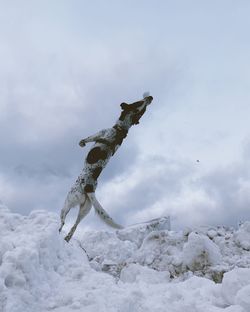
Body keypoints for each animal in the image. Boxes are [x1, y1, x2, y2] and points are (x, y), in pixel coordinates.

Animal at [59, 92, 153, 241]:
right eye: (141, 106)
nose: (150, 98)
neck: (121, 129)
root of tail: (89, 187)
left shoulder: (100, 133)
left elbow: (88, 138)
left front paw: (82, 143)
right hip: (86, 209)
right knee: (74, 226)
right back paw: (67, 237)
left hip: (69, 201)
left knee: (64, 218)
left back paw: (59, 228)